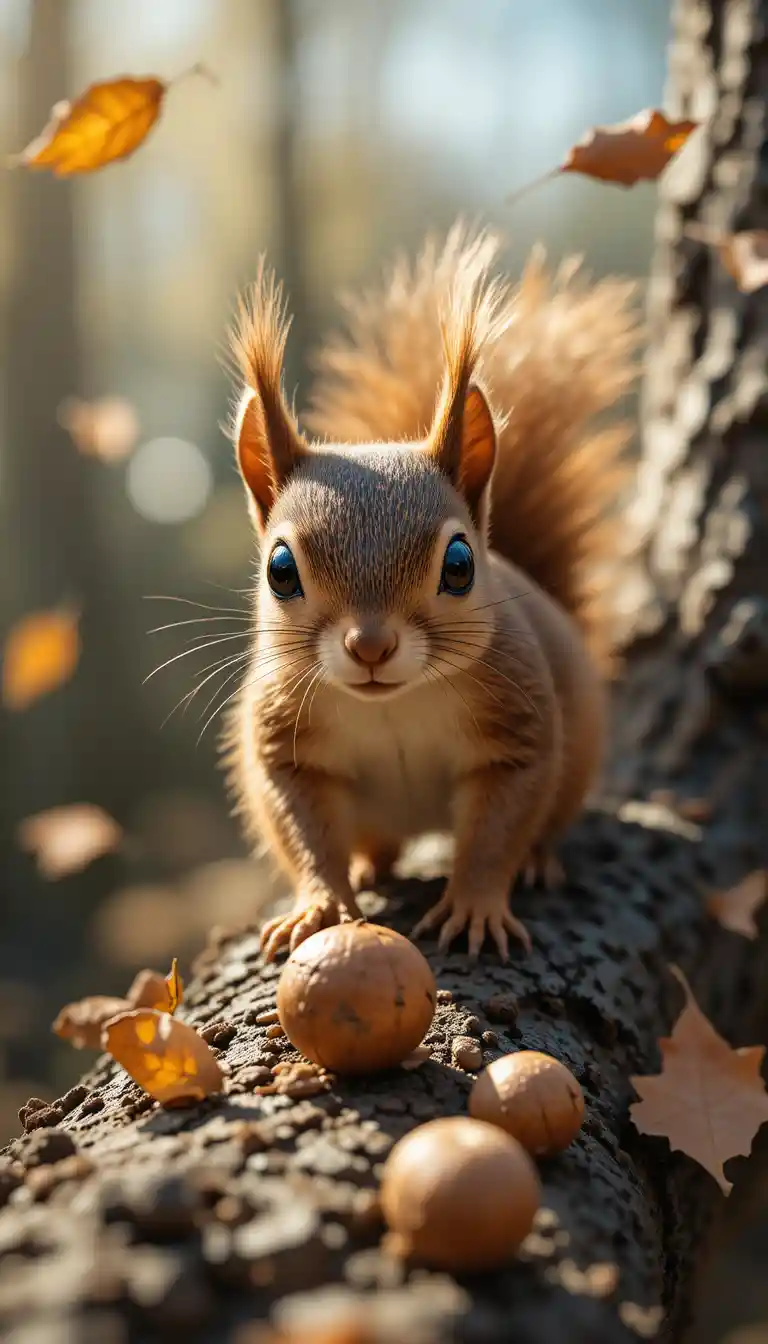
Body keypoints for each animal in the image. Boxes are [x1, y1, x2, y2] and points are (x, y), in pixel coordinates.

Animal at [224, 224, 638, 962]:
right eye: (280, 569)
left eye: (460, 563)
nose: (371, 646)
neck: (394, 705)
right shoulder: (284, 743)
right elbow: (304, 831)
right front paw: (318, 905)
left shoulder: (518, 729)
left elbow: (497, 831)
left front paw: (475, 907)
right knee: (372, 844)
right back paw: (367, 866)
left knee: (542, 824)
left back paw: (538, 862)